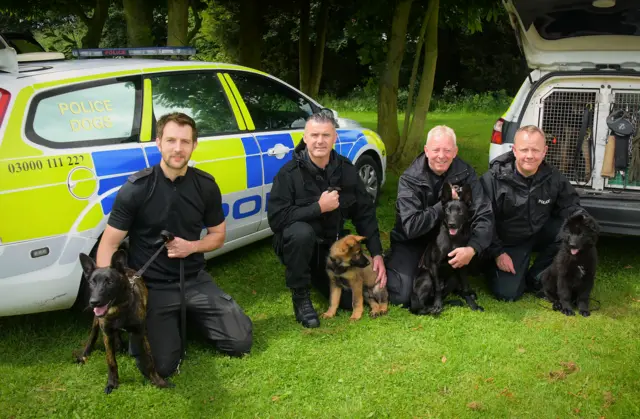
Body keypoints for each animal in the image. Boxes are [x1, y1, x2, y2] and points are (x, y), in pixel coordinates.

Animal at [74, 251, 172, 396]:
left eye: (110, 282)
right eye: (92, 282)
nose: (93, 302)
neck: (118, 308)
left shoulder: (141, 333)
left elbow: (149, 359)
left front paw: (158, 381)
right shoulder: (107, 334)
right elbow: (111, 361)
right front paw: (112, 383)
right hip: (97, 322)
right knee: (93, 335)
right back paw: (85, 355)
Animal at [412, 183, 482, 316]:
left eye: (460, 211)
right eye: (448, 211)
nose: (451, 224)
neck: (453, 239)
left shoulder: (462, 265)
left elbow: (465, 286)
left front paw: (472, 304)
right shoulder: (434, 265)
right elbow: (438, 289)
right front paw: (437, 305)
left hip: (453, 278)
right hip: (427, 278)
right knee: (420, 307)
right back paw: (433, 308)